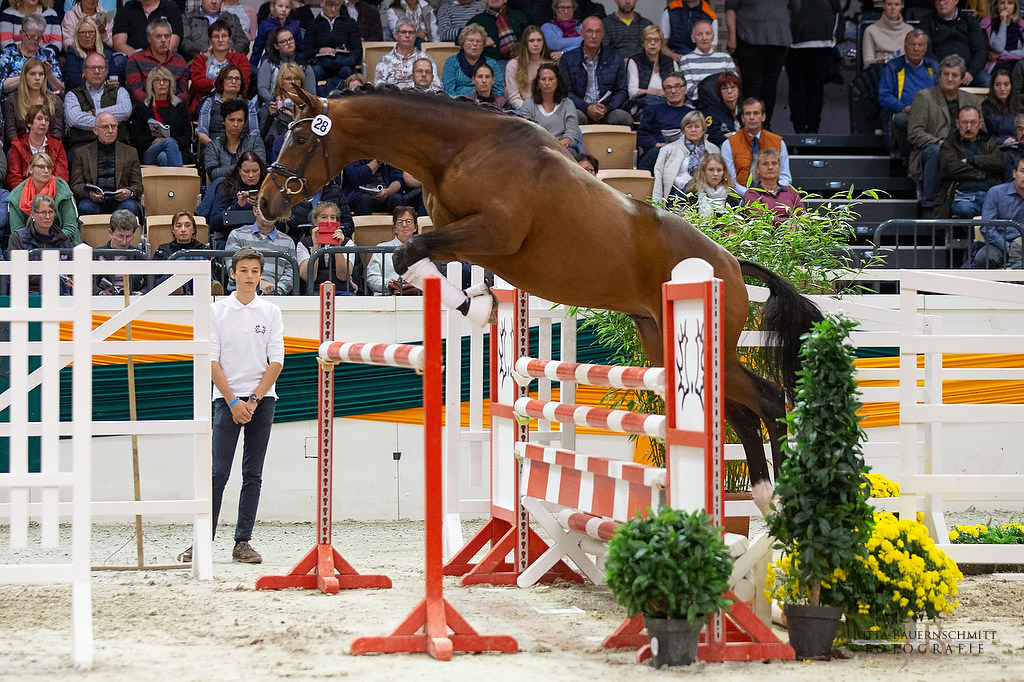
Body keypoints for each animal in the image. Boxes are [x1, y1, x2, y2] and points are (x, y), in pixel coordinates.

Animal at [258, 86, 823, 509]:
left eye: (300, 137)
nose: (263, 204)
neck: (460, 149)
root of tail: (729, 264)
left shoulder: (495, 232)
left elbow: (408, 254)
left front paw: (478, 306)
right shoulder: (466, 239)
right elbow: (415, 257)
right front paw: (481, 302)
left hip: (701, 343)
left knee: (766, 399)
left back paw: (780, 499)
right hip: (663, 343)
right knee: (741, 413)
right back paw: (764, 495)